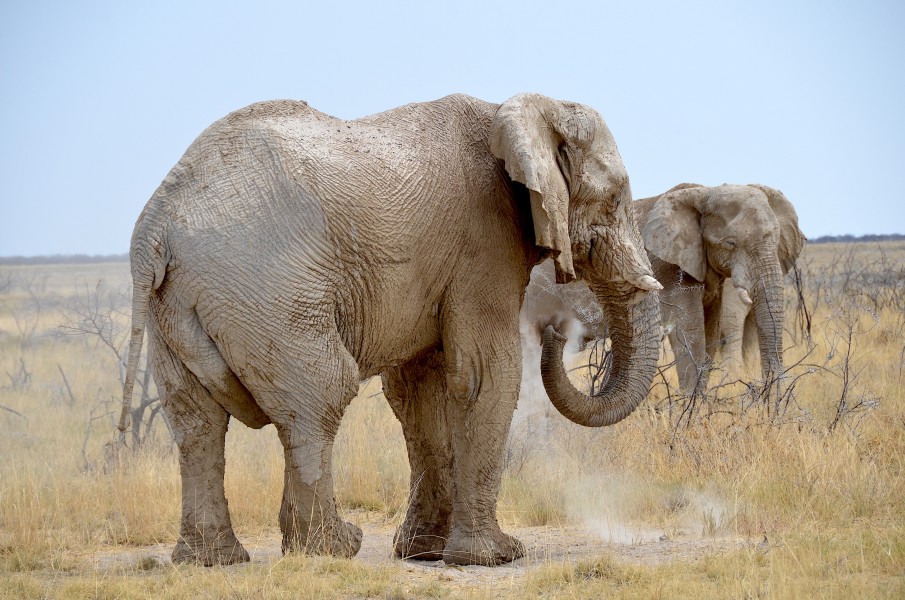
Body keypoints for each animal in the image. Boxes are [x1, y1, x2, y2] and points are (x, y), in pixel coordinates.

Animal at [118, 93, 663, 567]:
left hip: (177, 305)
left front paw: (424, 553)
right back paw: (332, 548)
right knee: (320, 396)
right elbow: (485, 376)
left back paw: (213, 560)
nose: (557, 332)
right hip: (266, 290)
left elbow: (418, 391)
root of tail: (155, 227)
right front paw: (495, 557)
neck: (519, 110)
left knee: (196, 422)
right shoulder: (483, 244)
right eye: (614, 199)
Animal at [637, 183, 806, 394]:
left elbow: (710, 332)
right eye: (730, 243)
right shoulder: (667, 265)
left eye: (777, 240)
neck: (704, 193)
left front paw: (697, 399)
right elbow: (688, 330)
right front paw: (689, 400)